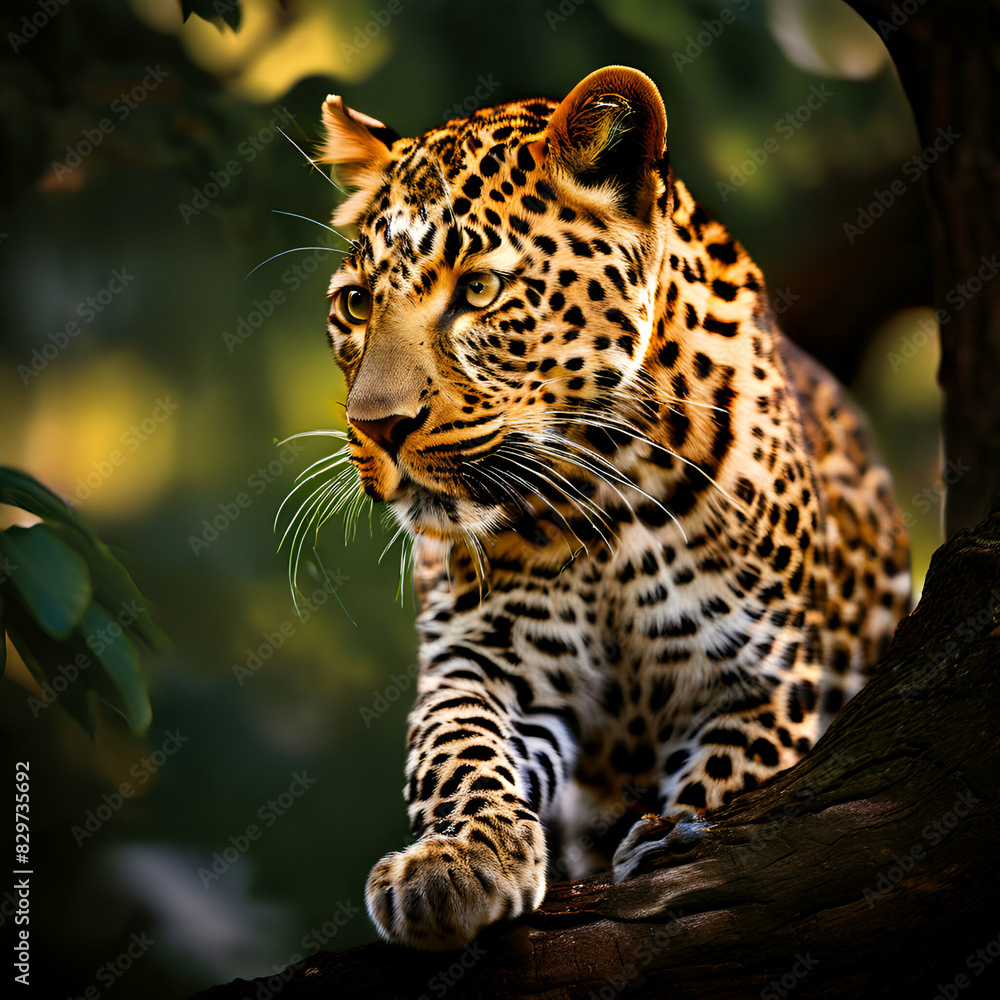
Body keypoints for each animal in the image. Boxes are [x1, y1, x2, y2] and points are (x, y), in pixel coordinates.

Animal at [314, 66, 910, 951]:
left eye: (480, 290)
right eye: (356, 305)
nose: (377, 426)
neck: (602, 494)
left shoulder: (761, 683)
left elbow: (731, 777)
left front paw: (673, 835)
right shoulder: (486, 657)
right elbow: (455, 745)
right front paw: (456, 860)